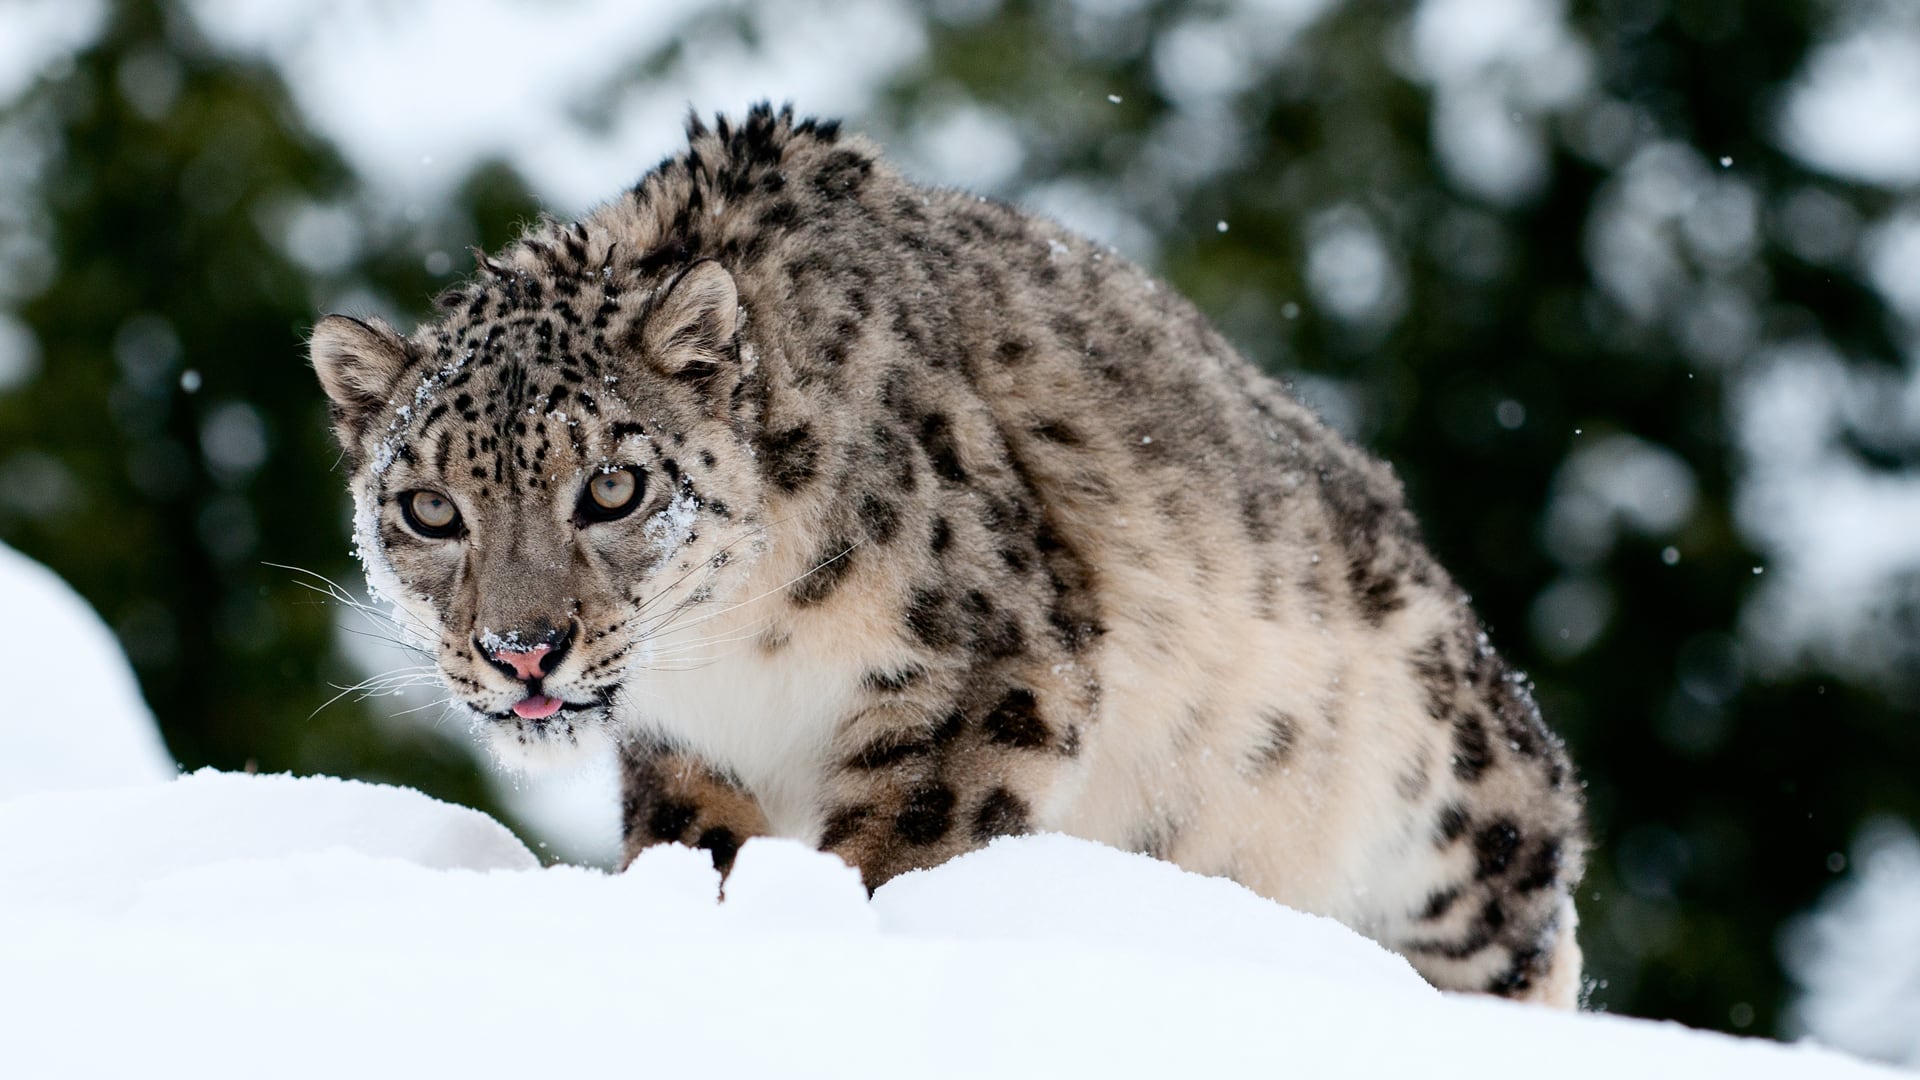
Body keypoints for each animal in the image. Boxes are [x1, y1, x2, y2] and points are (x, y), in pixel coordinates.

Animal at [309, 104, 1586, 1005]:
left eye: (612, 487)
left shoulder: (989, 673)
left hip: (1457, 812)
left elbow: (893, 852)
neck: (737, 659)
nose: (522, 649)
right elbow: (705, 851)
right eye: (430, 509)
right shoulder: (693, 754)